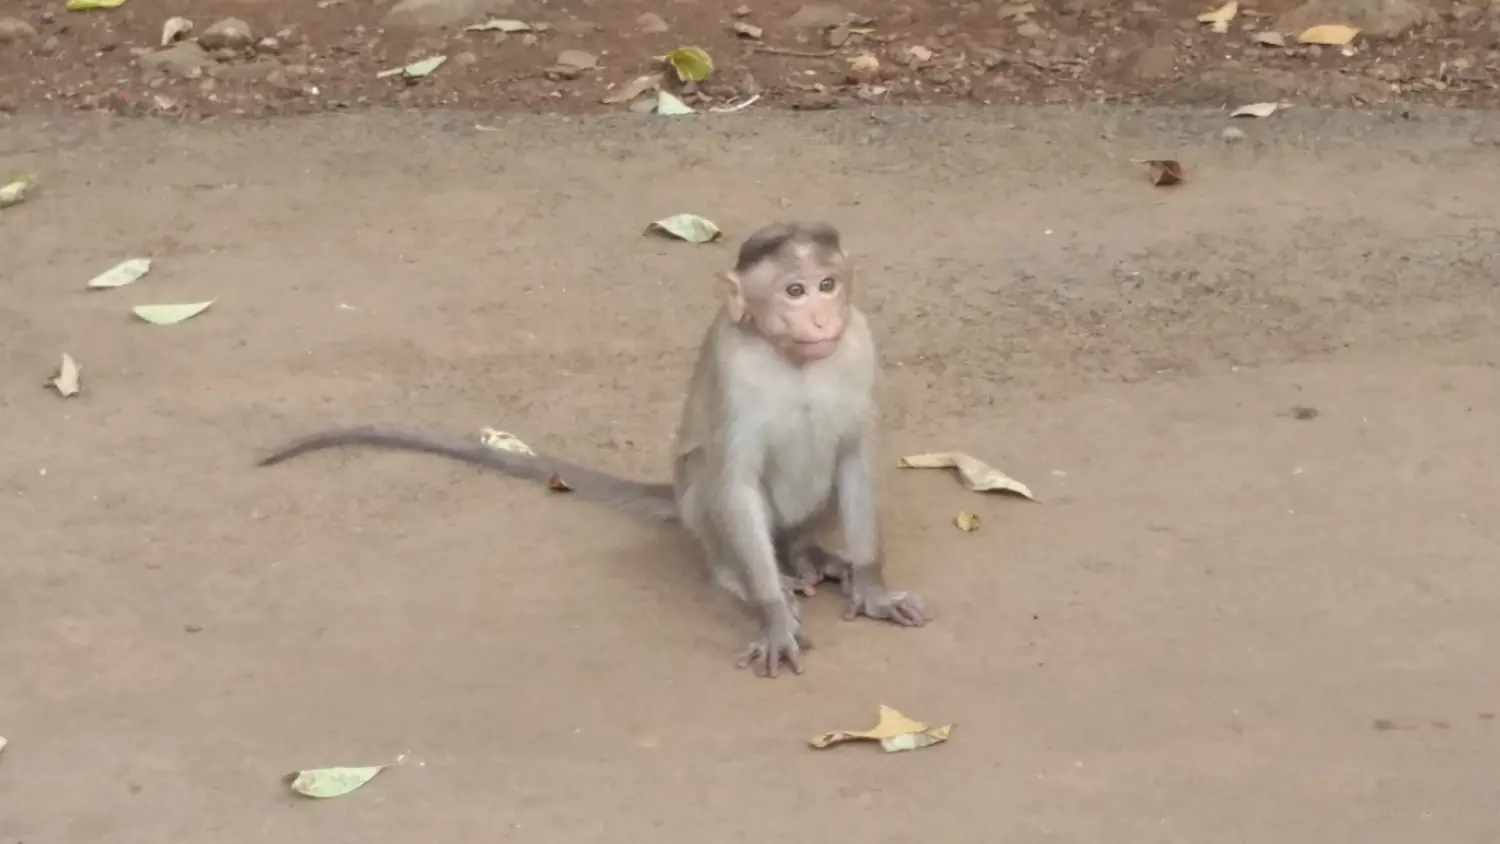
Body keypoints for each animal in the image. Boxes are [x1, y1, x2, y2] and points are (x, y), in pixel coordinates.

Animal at [257, 221, 928, 677]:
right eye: (793, 291)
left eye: (827, 284)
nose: (820, 319)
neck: (792, 359)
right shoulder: (737, 369)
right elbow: (735, 480)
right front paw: (773, 615)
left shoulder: (859, 341)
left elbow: (855, 457)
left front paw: (871, 585)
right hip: (698, 507)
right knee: (711, 479)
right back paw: (744, 574)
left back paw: (812, 553)